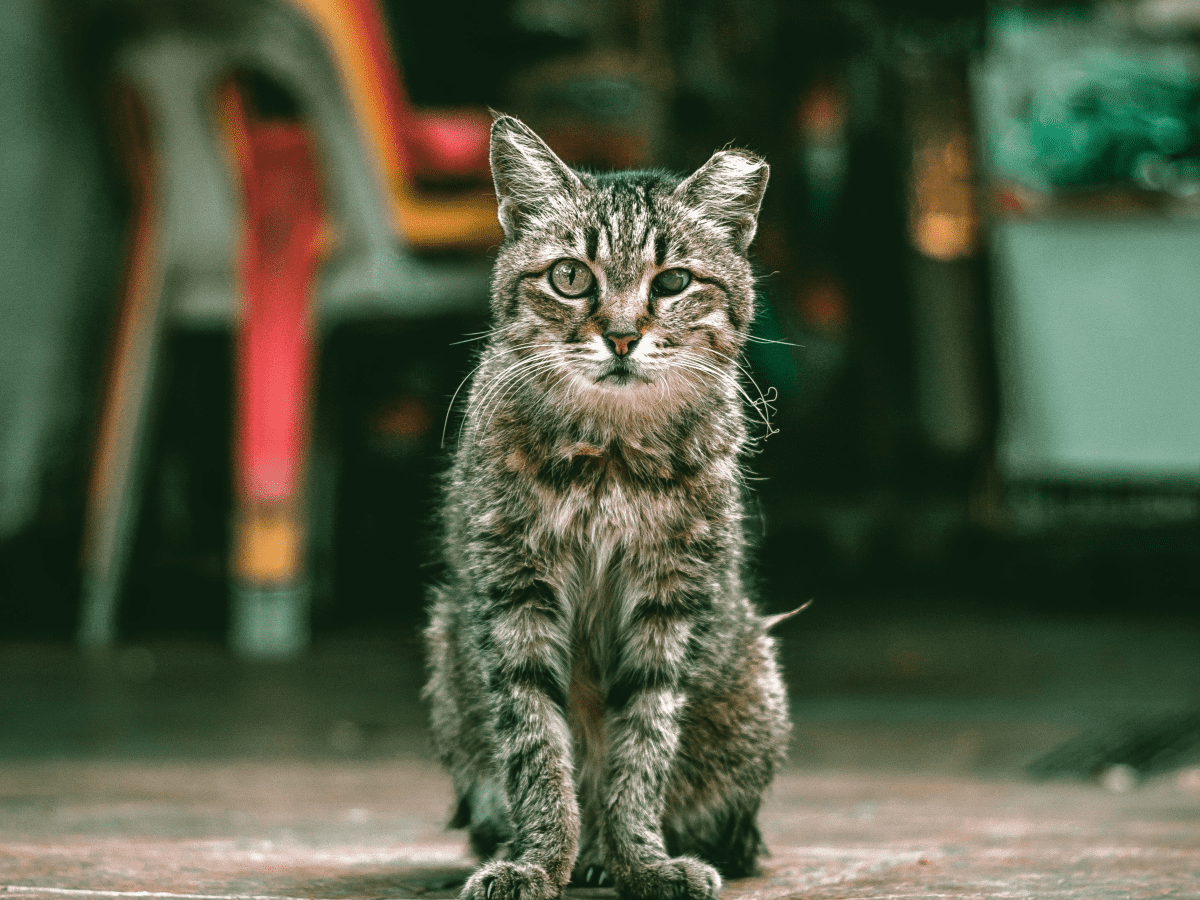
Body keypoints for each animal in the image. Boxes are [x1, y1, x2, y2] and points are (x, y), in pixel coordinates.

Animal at [422, 114, 787, 900]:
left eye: (673, 281)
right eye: (570, 277)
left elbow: (642, 747)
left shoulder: (671, 602)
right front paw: (540, 858)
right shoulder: (513, 594)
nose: (621, 335)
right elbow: (536, 745)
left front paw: (638, 859)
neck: (610, 454)